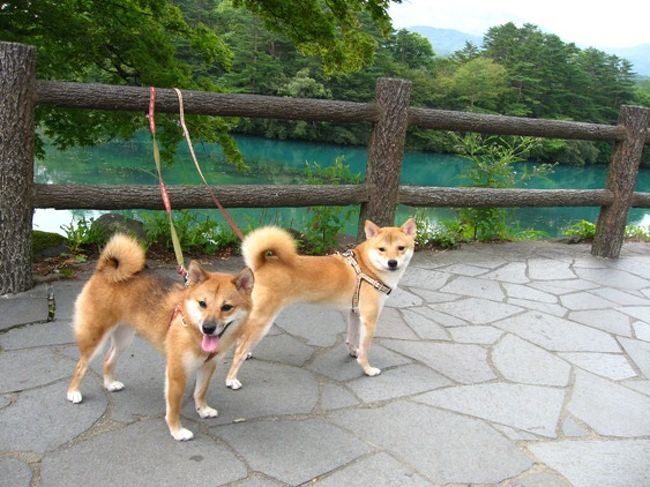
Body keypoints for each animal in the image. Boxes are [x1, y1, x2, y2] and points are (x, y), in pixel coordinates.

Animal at [66, 235, 253, 442]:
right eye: (202, 303)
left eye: (226, 307)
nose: (208, 328)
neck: (192, 328)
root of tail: (104, 271)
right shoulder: (177, 372)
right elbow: (174, 407)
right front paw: (177, 430)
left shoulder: (208, 366)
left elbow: (200, 392)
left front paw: (202, 409)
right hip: (95, 338)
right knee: (81, 365)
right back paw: (73, 392)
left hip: (124, 338)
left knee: (108, 359)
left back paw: (109, 383)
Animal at [224, 219, 416, 390]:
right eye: (381, 249)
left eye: (401, 248)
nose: (392, 263)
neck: (367, 267)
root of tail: (260, 265)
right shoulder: (369, 319)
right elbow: (365, 350)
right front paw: (367, 369)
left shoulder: (354, 313)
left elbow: (352, 338)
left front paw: (353, 351)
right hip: (263, 321)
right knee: (240, 349)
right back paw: (231, 379)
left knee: (241, 339)